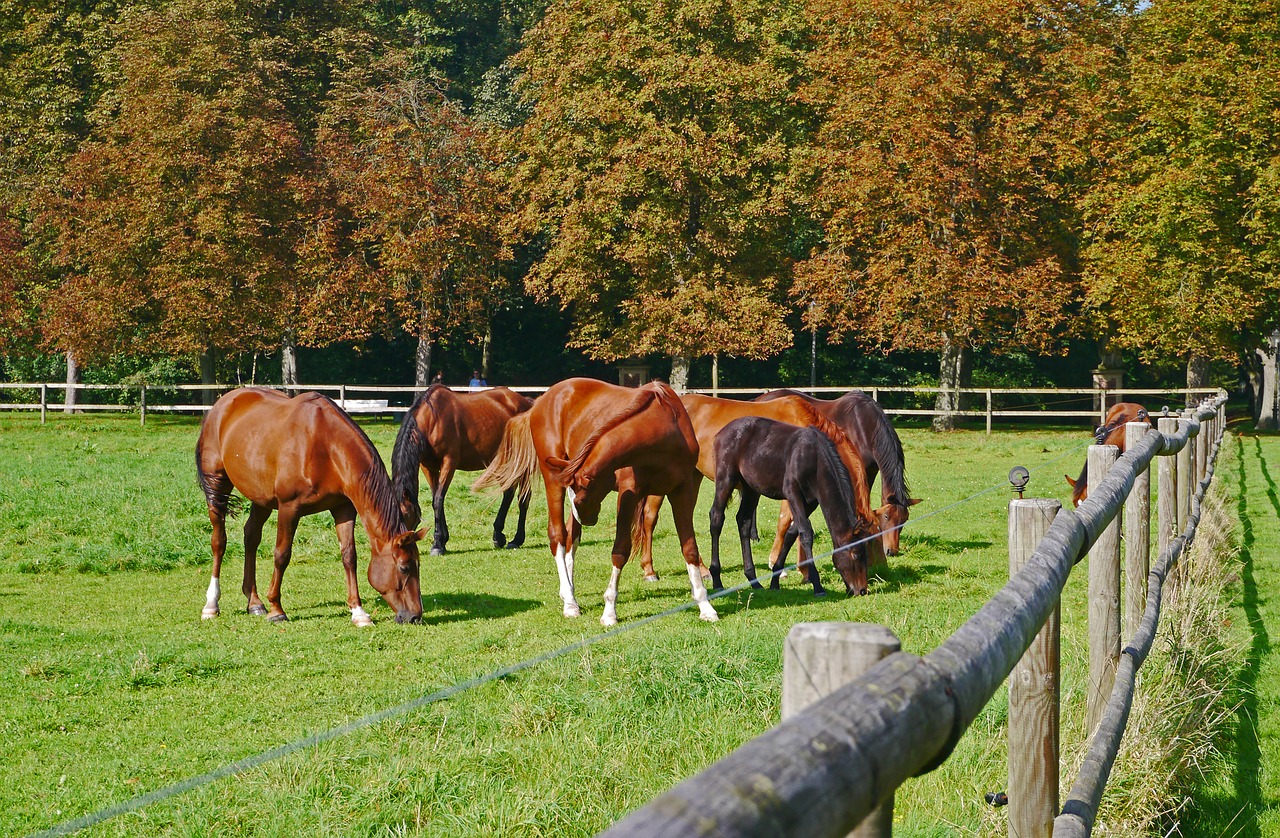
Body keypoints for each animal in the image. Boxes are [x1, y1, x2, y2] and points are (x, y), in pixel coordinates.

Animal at [195, 388, 424, 626]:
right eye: (405, 567)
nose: (415, 615)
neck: (325, 446)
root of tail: (221, 404)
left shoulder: (343, 508)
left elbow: (349, 556)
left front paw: (358, 612)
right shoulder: (289, 508)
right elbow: (282, 555)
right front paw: (276, 609)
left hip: (261, 497)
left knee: (251, 537)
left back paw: (254, 602)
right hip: (217, 485)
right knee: (219, 542)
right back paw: (211, 604)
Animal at [389, 386, 529, 557]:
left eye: (407, 515)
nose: (399, 544)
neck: (432, 421)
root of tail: (525, 401)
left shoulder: (449, 463)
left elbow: (438, 499)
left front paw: (437, 544)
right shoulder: (428, 467)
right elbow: (435, 499)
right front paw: (443, 540)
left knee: (523, 498)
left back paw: (516, 539)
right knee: (508, 492)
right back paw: (498, 536)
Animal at [476, 376, 721, 626]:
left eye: (582, 490)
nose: (586, 516)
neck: (664, 430)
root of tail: (540, 401)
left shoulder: (683, 492)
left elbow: (689, 548)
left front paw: (705, 606)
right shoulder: (628, 494)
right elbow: (620, 551)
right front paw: (609, 611)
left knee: (571, 536)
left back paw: (569, 590)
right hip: (552, 479)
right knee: (558, 536)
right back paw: (570, 602)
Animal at [706, 417, 875, 596]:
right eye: (856, 554)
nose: (862, 590)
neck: (814, 457)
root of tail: (722, 432)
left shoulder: (811, 502)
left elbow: (791, 533)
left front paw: (775, 581)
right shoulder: (792, 493)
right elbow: (805, 533)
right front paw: (817, 586)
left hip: (751, 488)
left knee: (743, 521)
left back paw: (754, 580)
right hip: (726, 479)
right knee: (716, 518)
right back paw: (717, 579)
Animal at [747, 388, 921, 560]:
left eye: (905, 519)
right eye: (886, 517)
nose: (892, 551)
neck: (863, 426)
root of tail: (759, 399)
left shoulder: (869, 472)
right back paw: (754, 536)